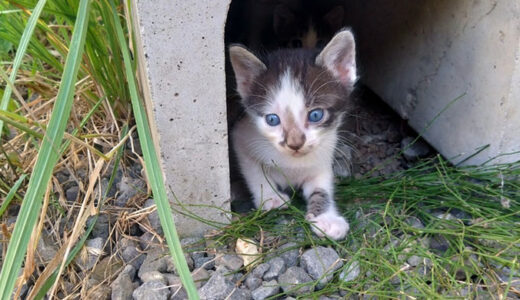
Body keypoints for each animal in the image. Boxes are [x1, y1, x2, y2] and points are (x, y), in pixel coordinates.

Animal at [230, 28, 356, 239]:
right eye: (272, 119)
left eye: (315, 115)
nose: (295, 143)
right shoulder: (242, 138)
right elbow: (255, 172)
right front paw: (271, 197)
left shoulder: (323, 155)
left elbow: (322, 187)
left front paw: (326, 218)